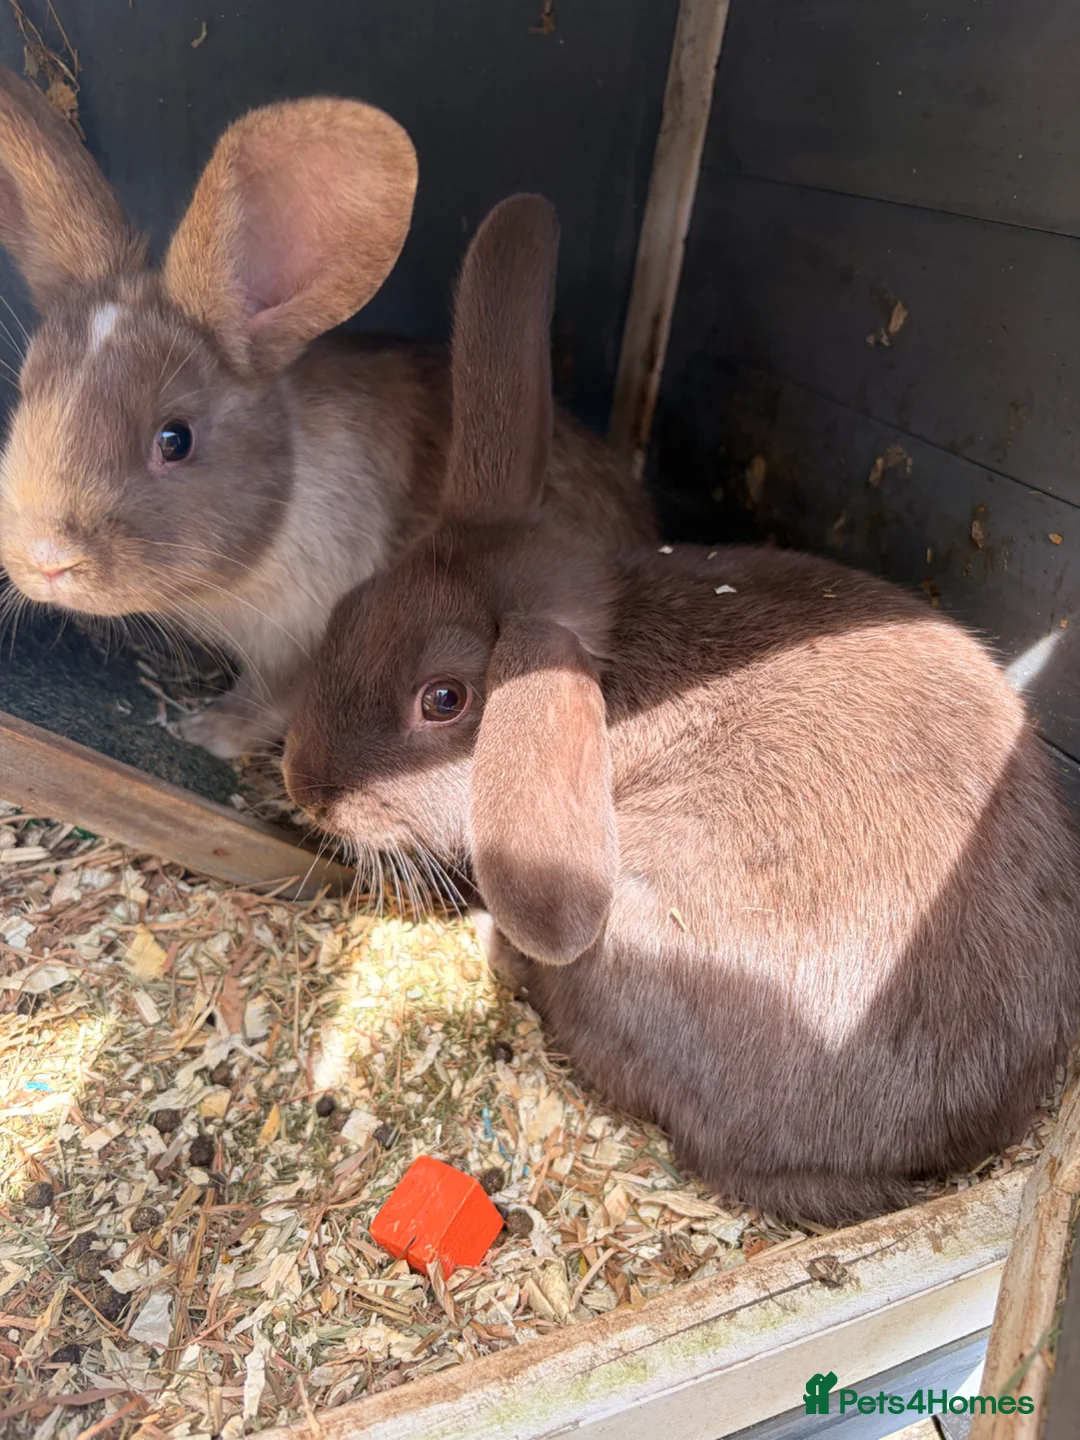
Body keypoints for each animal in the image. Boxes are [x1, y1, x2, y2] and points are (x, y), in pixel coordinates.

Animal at [0, 68, 655, 759]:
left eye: (174, 439)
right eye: (25, 394)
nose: (44, 558)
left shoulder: (309, 639)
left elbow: (274, 699)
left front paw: (209, 732)